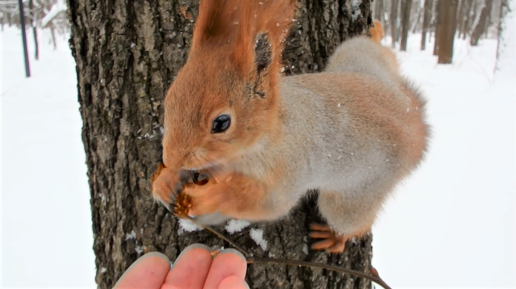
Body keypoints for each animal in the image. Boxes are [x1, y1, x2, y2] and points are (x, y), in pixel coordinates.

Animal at [150, 0, 428, 252]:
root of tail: (412, 118)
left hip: (356, 194)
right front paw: (166, 181)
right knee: (378, 54)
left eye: (221, 123)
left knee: (352, 221)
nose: (172, 159)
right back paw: (377, 35)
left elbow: (266, 203)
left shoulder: (288, 169)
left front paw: (216, 195)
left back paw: (336, 238)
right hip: (356, 58)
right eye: (169, 101)